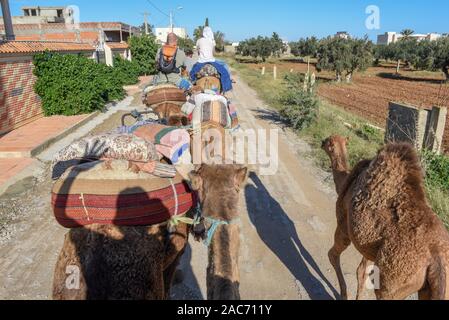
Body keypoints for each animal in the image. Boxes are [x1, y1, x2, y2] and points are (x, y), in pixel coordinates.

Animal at [320, 135, 448, 300]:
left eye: (328, 141)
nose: (322, 141)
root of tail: (437, 259)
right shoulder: (368, 242)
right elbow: (361, 272)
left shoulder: (344, 222)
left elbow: (333, 255)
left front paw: (344, 294)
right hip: (429, 289)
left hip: (392, 282)